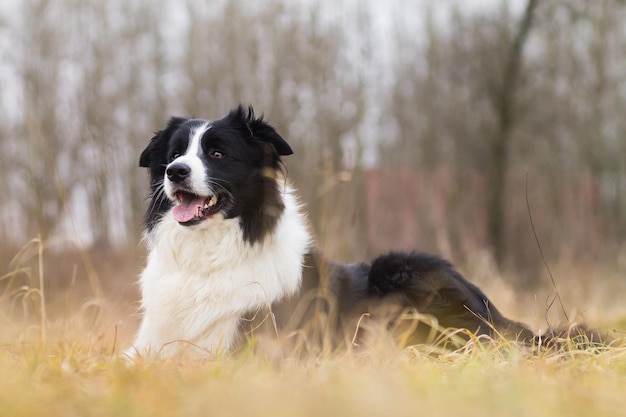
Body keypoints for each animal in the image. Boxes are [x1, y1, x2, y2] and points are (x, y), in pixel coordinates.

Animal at [125, 105, 532, 358]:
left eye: (217, 154)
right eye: (174, 154)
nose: (175, 171)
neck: (207, 255)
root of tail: (492, 313)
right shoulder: (149, 345)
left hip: (402, 269)